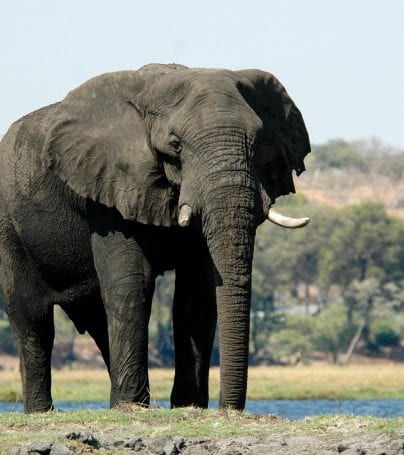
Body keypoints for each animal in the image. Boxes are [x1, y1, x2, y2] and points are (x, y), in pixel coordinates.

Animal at [0, 63, 310, 414]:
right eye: (175, 145)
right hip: (9, 226)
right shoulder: (111, 186)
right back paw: (45, 411)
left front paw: (188, 406)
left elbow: (197, 292)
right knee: (32, 319)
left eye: (258, 142)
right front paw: (136, 407)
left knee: (98, 321)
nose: (228, 409)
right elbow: (130, 283)